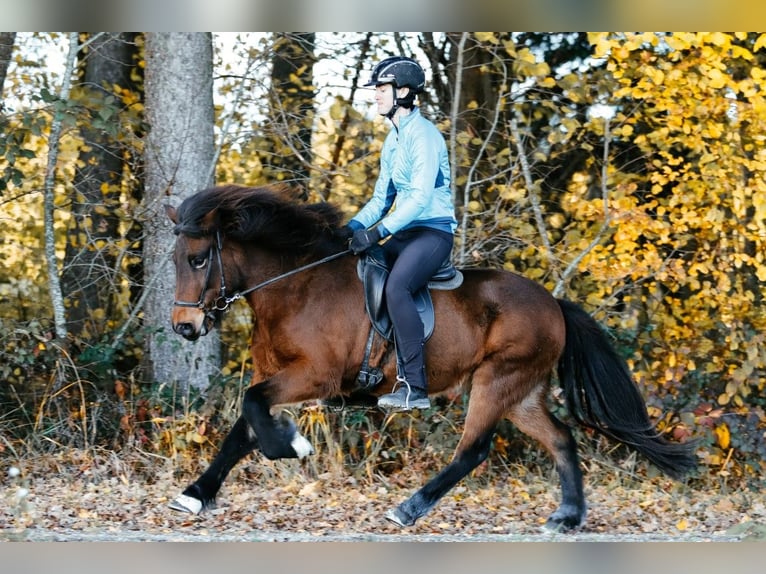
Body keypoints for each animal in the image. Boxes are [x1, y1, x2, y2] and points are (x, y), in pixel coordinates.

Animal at [163, 183, 696, 530]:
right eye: (175, 261)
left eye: (198, 259)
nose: (184, 327)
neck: (296, 286)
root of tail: (554, 305)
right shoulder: (276, 374)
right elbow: (242, 428)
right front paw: (194, 496)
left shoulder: (315, 376)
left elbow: (254, 410)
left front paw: (292, 444)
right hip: (522, 393)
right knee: (561, 438)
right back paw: (567, 516)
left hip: (497, 381)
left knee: (473, 450)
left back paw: (408, 508)